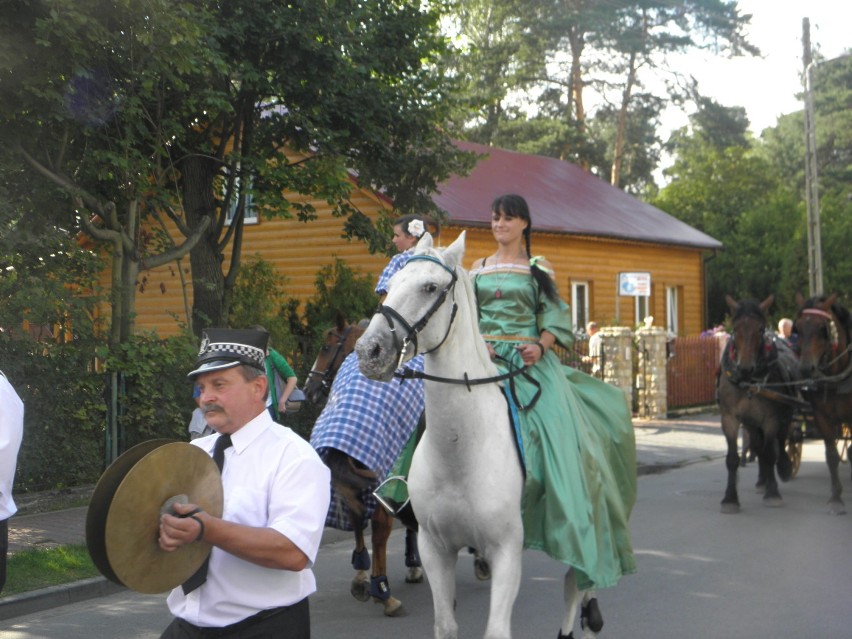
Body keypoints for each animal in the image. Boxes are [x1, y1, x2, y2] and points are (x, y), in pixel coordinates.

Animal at [356, 232, 604, 639]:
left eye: (430, 287)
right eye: (389, 286)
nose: (368, 351)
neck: (462, 451)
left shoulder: (507, 551)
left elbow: (496, 630)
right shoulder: (434, 548)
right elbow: (445, 625)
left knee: (577, 583)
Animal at [720, 296, 800, 516]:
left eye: (760, 328)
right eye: (736, 328)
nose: (745, 368)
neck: (748, 382)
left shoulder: (771, 418)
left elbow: (770, 452)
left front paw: (773, 494)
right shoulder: (729, 417)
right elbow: (733, 458)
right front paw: (730, 498)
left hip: (785, 413)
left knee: (781, 440)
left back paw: (784, 467)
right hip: (750, 422)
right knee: (756, 445)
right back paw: (762, 481)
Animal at [792, 296, 852, 516]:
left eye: (822, 328)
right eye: (798, 328)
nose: (804, 368)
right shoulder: (822, 416)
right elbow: (831, 456)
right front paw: (836, 498)